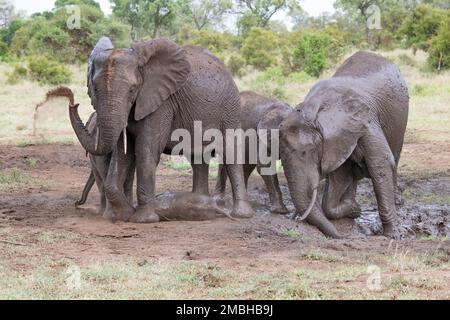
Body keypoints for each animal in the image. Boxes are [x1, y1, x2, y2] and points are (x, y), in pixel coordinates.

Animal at [68, 37, 255, 222]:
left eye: (132, 90)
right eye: (95, 89)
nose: (73, 103)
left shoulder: (161, 102)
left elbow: (146, 151)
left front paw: (143, 219)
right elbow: (123, 155)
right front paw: (125, 215)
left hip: (230, 110)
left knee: (231, 153)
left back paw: (241, 214)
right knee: (197, 158)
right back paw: (199, 203)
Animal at [282, 51, 412, 239]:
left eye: (305, 153)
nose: (297, 220)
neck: (314, 107)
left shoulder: (366, 120)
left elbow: (380, 163)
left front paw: (394, 235)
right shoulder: (336, 140)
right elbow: (340, 174)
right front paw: (354, 209)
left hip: (400, 123)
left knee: (394, 156)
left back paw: (397, 201)